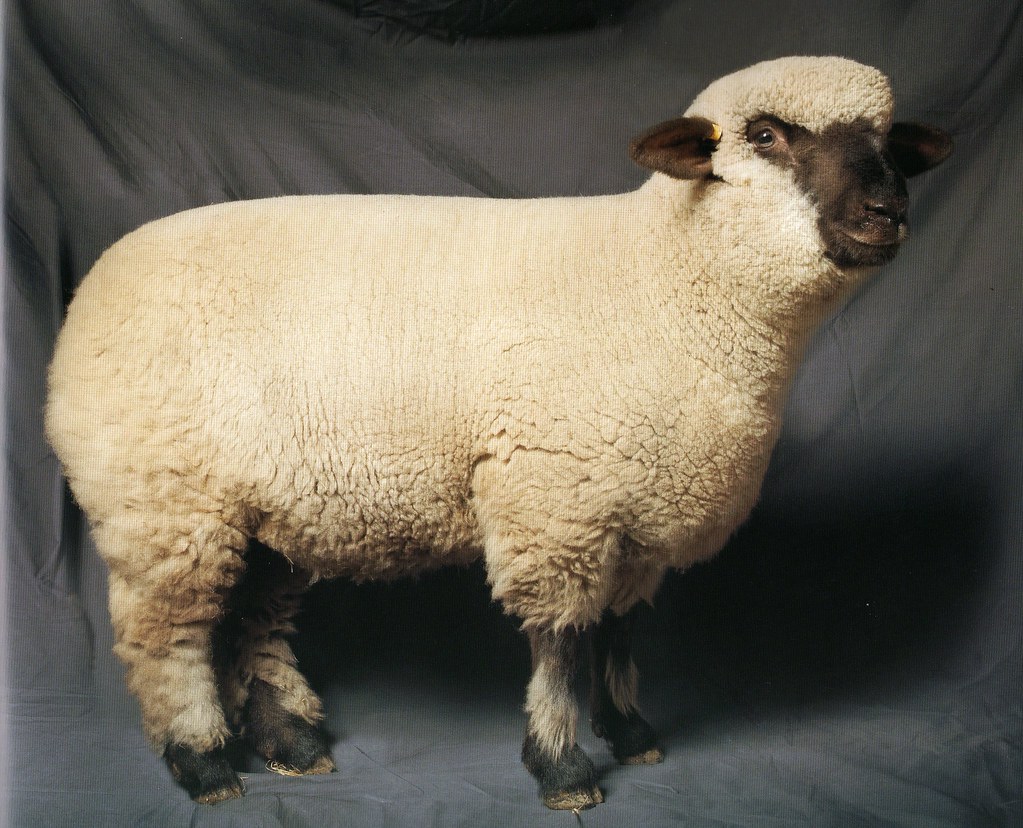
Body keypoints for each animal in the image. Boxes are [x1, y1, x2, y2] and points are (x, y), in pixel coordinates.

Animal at [44, 56, 952, 810]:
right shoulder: (555, 500)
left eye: (889, 146)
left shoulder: (635, 510)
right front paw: (561, 766)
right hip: (163, 501)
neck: (662, 279)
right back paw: (202, 763)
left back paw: (289, 745)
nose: (888, 210)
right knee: (170, 635)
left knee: (250, 623)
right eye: (765, 136)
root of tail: (89, 294)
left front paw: (632, 733)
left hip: (264, 509)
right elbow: (560, 642)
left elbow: (620, 631)